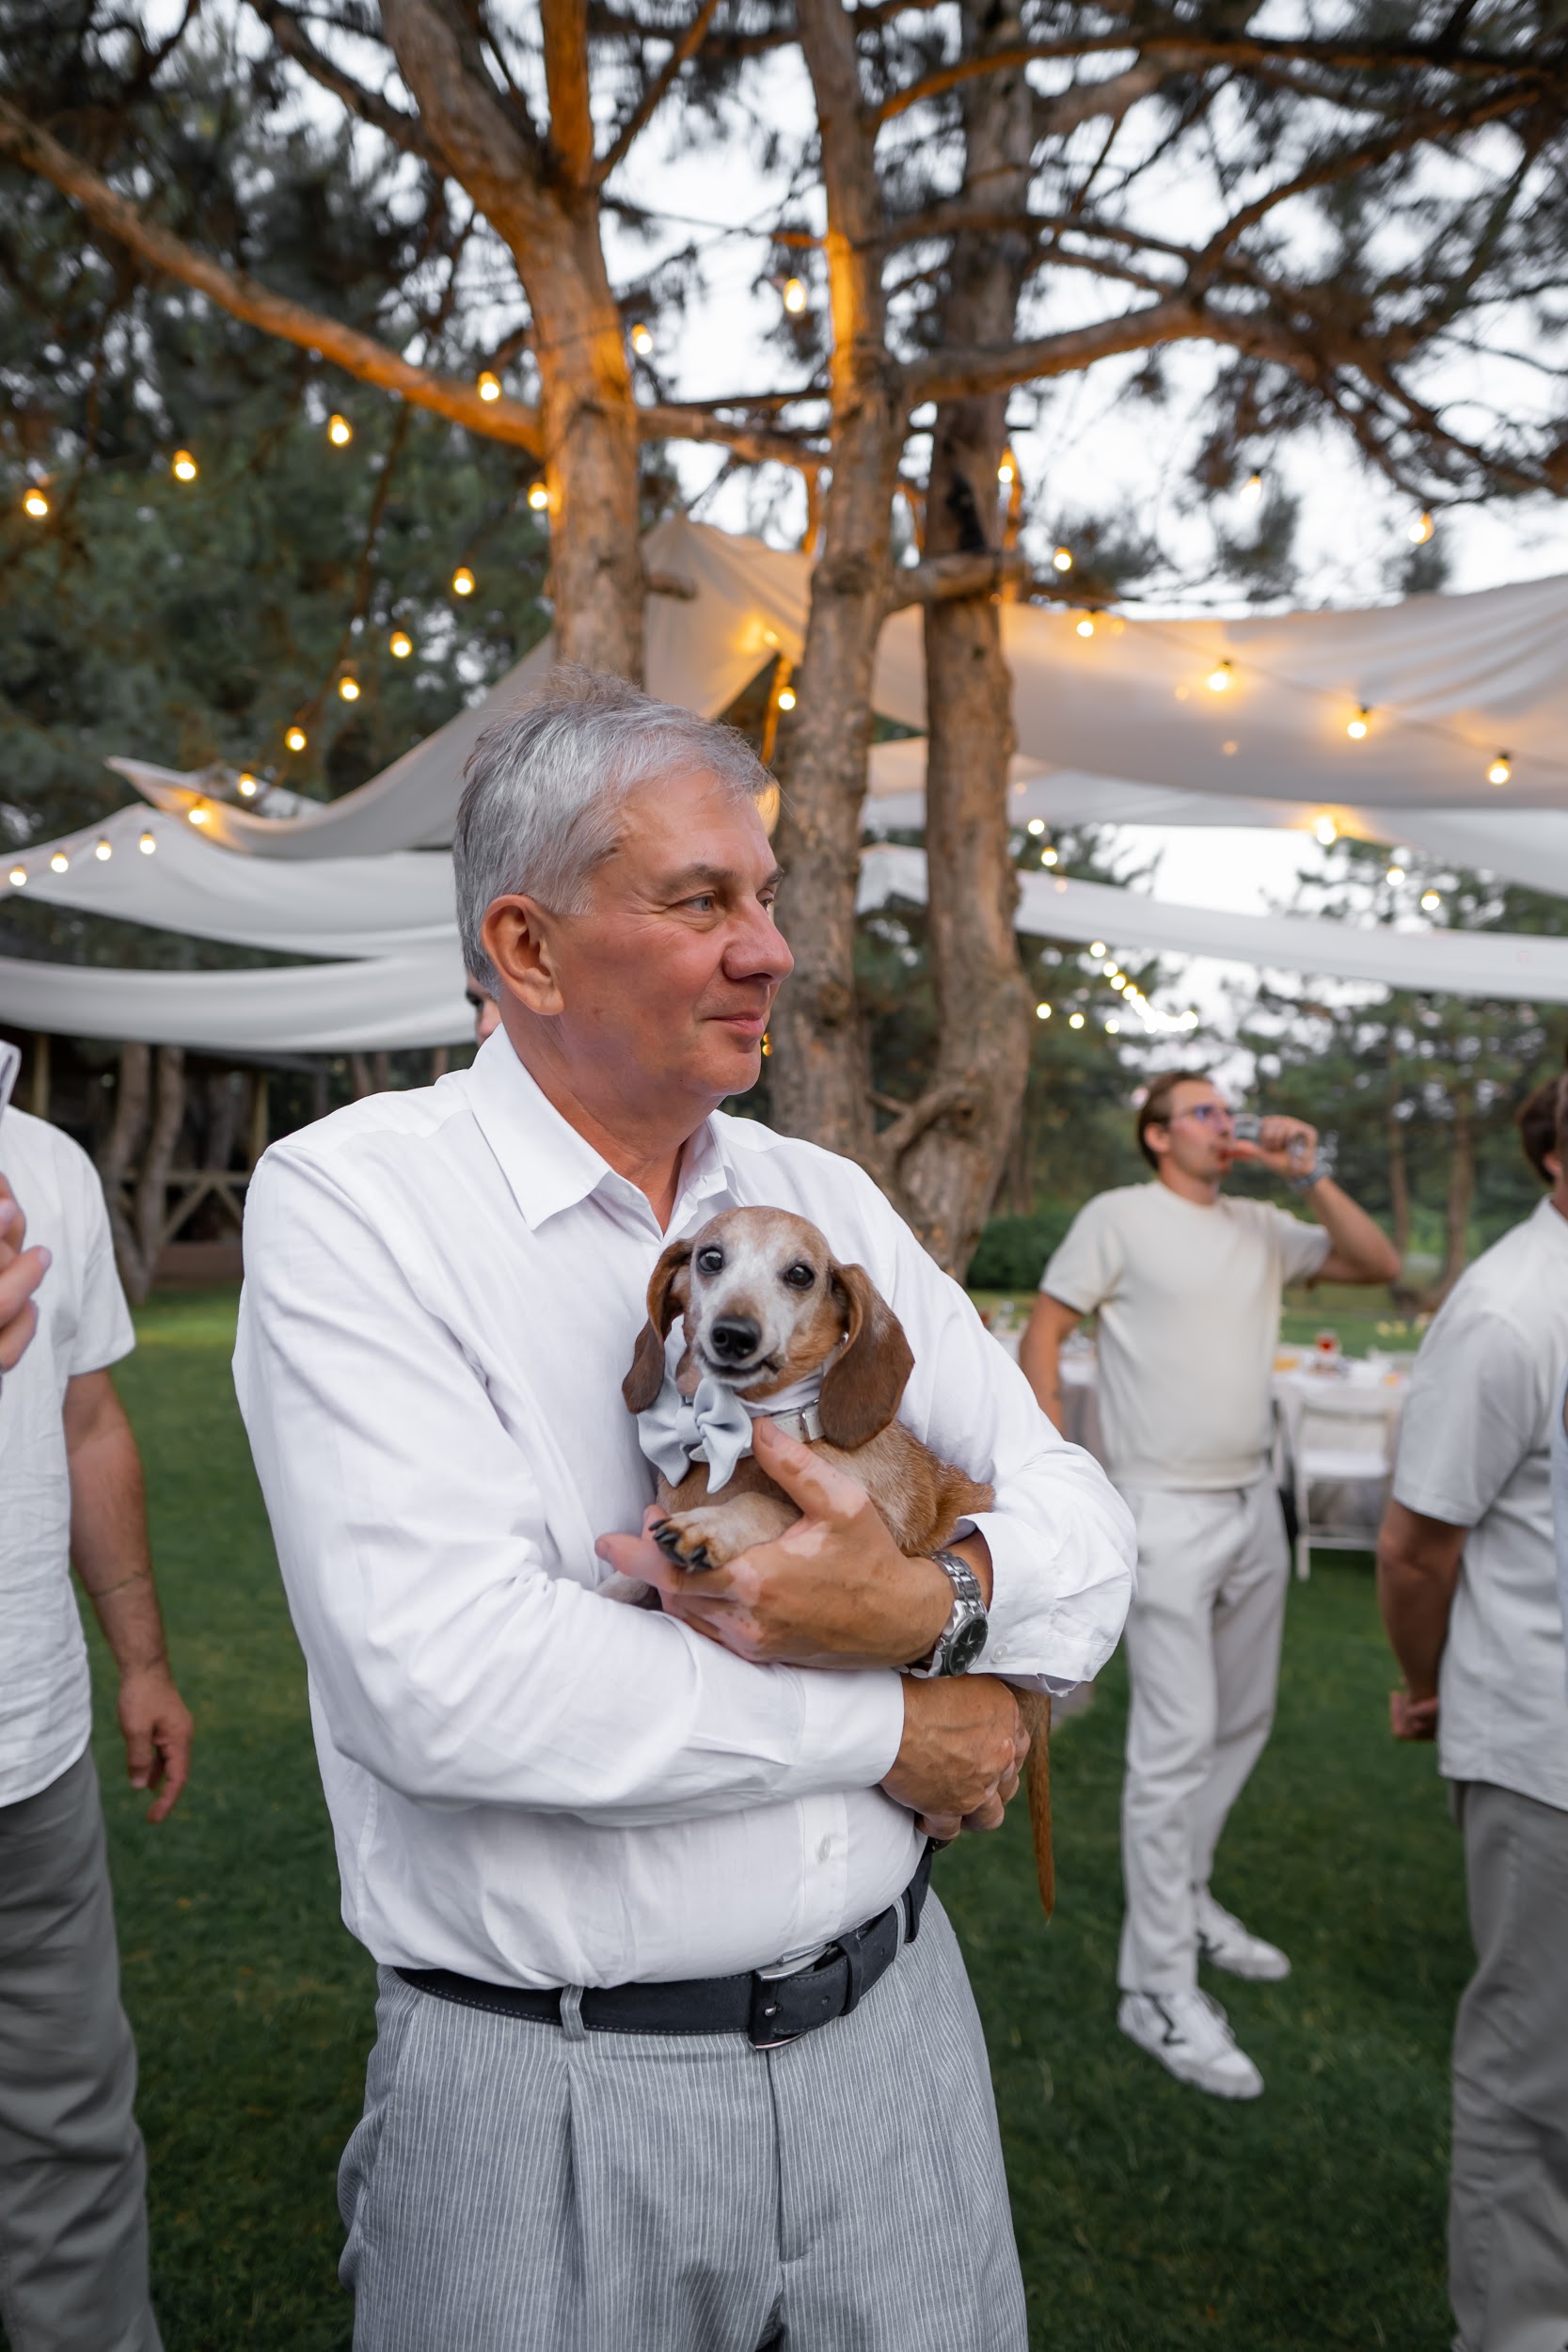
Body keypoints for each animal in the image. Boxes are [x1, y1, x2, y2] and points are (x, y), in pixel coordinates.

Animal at [621, 1204, 1054, 1913]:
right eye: (710, 1258)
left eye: (801, 1274)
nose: (734, 1334)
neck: (739, 1435)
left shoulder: (860, 1523)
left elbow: (765, 1508)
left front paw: (711, 1527)